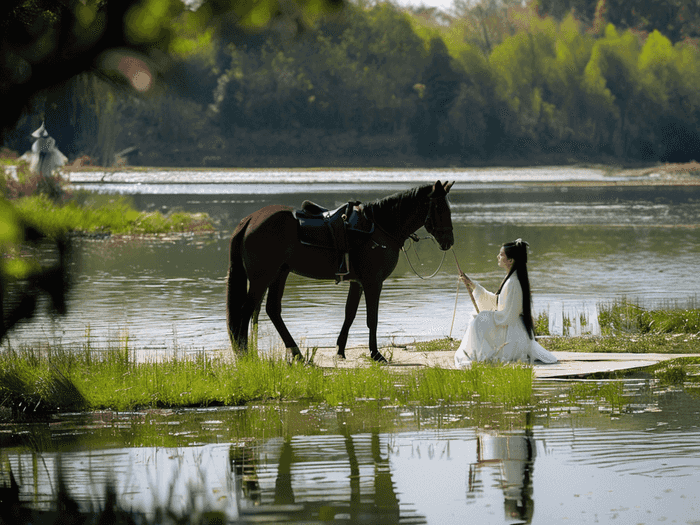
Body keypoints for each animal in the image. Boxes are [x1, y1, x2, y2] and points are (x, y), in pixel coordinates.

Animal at [224, 179, 454, 360]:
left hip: (279, 274)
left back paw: (297, 354)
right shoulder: (373, 282)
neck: (380, 227)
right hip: (262, 278)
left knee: (272, 310)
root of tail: (249, 220)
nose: (449, 241)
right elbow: (372, 318)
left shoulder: (357, 282)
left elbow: (349, 315)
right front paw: (375, 354)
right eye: (440, 208)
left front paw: (340, 349)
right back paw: (246, 355)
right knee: (246, 312)